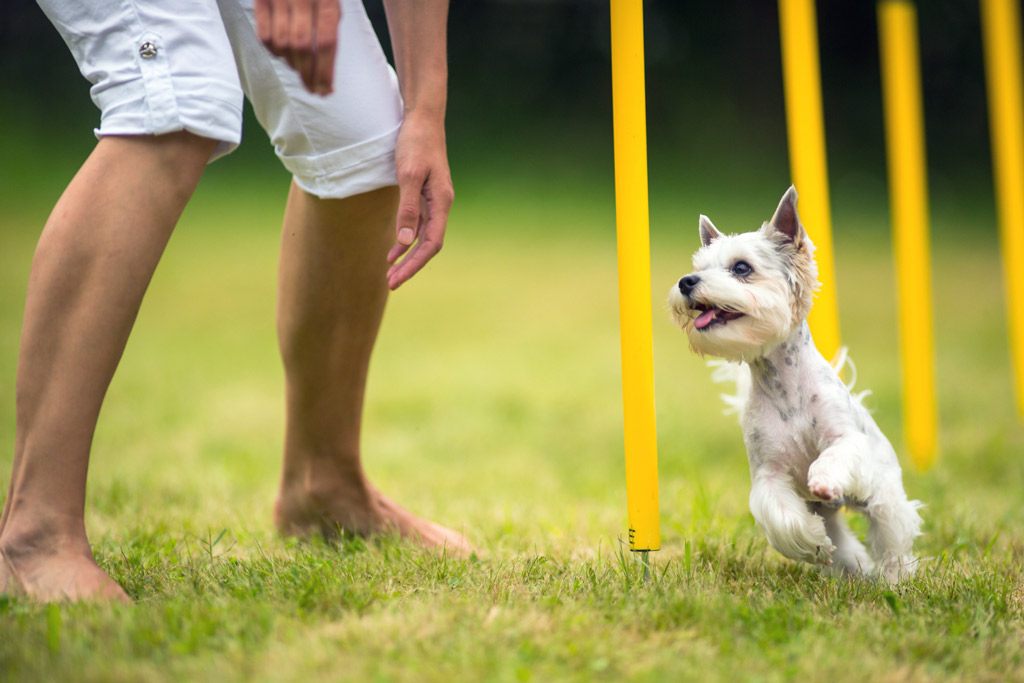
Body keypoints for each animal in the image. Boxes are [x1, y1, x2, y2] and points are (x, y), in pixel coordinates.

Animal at [667, 185, 925, 581]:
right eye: (699, 269)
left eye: (741, 268)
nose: (686, 282)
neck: (785, 388)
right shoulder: (769, 475)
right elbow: (782, 517)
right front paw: (812, 542)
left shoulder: (844, 440)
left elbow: (832, 457)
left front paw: (824, 481)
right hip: (832, 514)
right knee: (844, 542)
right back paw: (853, 566)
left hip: (883, 496)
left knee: (892, 534)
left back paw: (895, 577)